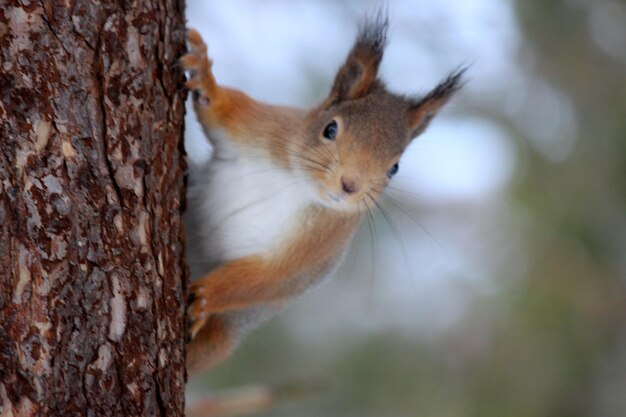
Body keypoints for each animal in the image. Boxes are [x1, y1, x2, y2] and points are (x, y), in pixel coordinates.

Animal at [180, 14, 464, 376]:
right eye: (330, 129)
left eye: (394, 168)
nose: (350, 185)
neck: (297, 182)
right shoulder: (263, 127)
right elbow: (217, 110)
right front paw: (203, 71)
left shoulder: (318, 244)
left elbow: (270, 276)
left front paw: (204, 297)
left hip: (223, 334)